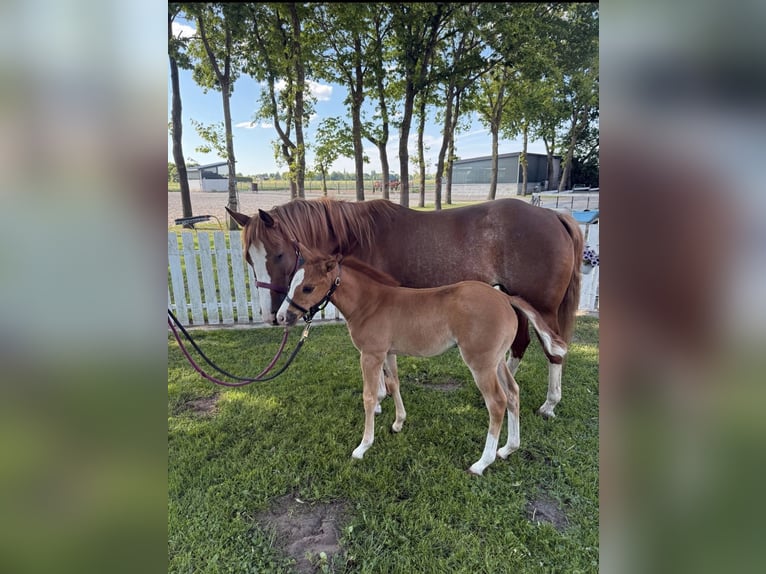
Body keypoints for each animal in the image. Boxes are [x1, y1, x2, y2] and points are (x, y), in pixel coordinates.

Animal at [226, 197, 582, 418]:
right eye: (249, 259)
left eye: (278, 255)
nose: (271, 315)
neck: (358, 238)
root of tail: (554, 215)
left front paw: (379, 400)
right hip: (514, 299)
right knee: (519, 345)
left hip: (543, 308)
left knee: (554, 351)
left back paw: (549, 404)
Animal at [276, 245, 568, 475]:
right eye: (292, 283)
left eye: (308, 287)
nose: (281, 317)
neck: (370, 303)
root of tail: (504, 297)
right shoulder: (388, 352)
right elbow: (393, 384)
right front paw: (398, 423)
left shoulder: (370, 355)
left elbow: (369, 397)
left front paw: (362, 447)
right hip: (497, 362)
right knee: (514, 393)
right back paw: (508, 449)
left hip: (481, 364)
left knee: (497, 402)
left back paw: (481, 463)